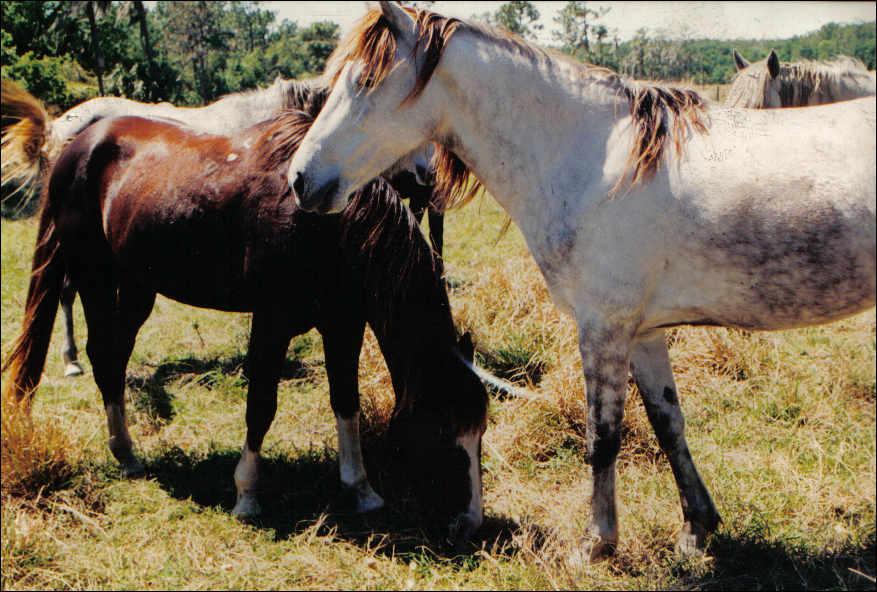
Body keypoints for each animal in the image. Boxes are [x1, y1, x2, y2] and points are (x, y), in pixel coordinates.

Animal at [3, 111, 490, 540]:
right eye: (445, 429)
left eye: (480, 431)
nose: (468, 524)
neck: (329, 227)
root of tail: (76, 147)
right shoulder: (272, 322)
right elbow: (261, 406)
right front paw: (247, 496)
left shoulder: (343, 324)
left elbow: (345, 403)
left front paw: (361, 490)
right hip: (96, 277)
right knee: (102, 355)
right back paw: (125, 454)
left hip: (138, 284)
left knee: (117, 357)